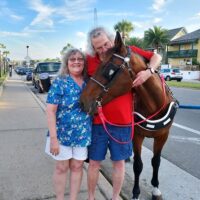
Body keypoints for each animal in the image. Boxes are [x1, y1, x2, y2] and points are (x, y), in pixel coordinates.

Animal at [79, 32, 178, 199]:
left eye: (109, 69)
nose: (82, 101)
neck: (153, 105)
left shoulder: (163, 135)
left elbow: (156, 161)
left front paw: (155, 188)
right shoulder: (137, 135)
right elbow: (138, 165)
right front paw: (136, 191)